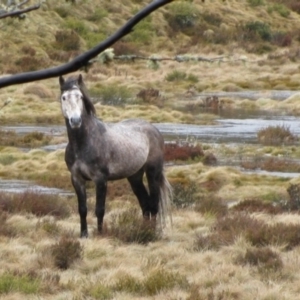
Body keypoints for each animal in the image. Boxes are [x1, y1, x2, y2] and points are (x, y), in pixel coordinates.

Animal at [59, 74, 171, 237]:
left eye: (80, 96)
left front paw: (100, 234)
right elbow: (82, 209)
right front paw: (84, 235)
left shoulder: (100, 179)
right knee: (145, 204)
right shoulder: (77, 179)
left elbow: (100, 210)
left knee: (153, 204)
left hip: (153, 173)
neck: (84, 143)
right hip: (134, 176)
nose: (75, 120)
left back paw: (151, 232)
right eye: (64, 97)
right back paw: (143, 230)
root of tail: (154, 129)